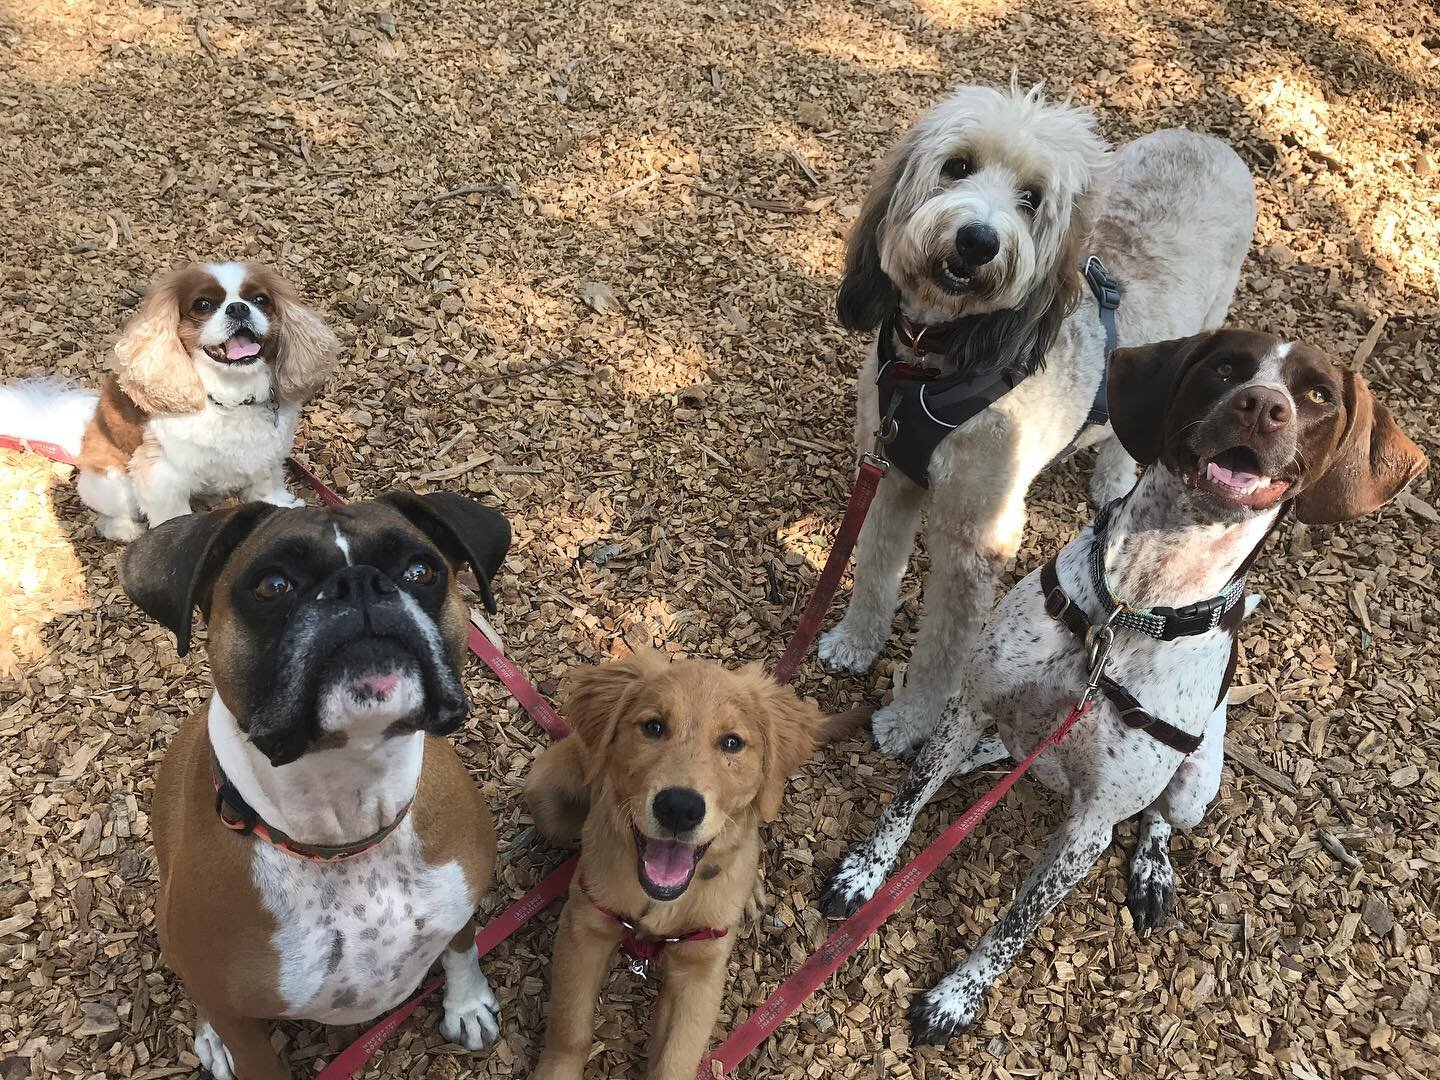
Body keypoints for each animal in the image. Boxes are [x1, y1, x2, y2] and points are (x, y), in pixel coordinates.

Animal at [120, 495, 512, 1077]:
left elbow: (462, 946)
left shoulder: (459, 902)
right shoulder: (242, 1023)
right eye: (272, 585)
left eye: (421, 571)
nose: (360, 584)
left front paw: (466, 1005)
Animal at [524, 650, 852, 1080]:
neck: (661, 900)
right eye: (653, 727)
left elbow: (676, 1058)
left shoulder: (700, 969)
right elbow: (570, 1027)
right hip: (546, 797)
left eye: (732, 743)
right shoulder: (584, 930)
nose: (679, 807)